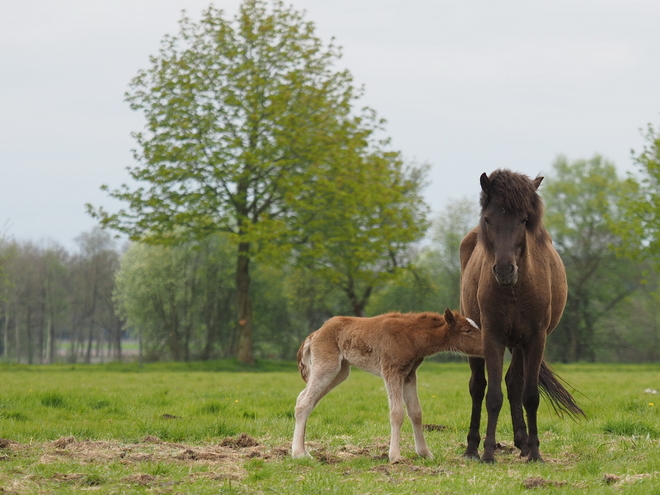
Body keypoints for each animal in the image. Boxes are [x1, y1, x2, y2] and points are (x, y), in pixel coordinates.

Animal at [458, 170, 584, 464]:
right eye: (488, 219)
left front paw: (535, 452)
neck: (515, 289)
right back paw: (471, 448)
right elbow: (492, 396)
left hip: (518, 344)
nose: (505, 270)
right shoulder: (492, 337)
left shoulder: (535, 339)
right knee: (478, 387)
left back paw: (522, 443)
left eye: (524, 220)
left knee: (514, 383)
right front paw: (488, 453)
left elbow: (529, 396)